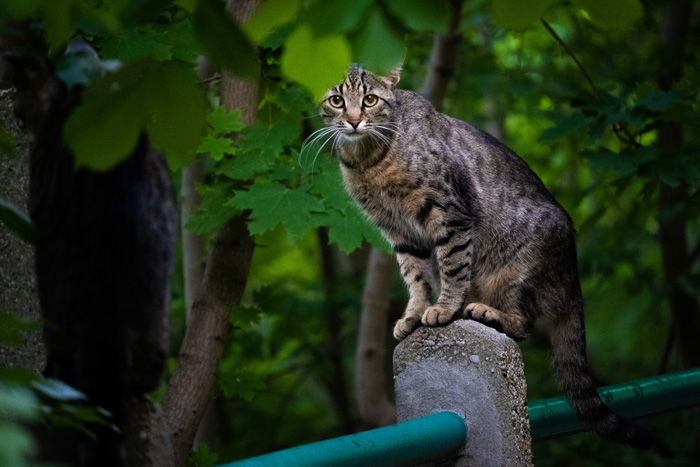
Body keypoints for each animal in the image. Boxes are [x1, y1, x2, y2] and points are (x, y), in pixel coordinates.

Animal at [320, 65, 652, 450]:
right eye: (337, 101)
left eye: (370, 100)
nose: (354, 120)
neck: (367, 161)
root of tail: (574, 280)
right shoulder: (401, 234)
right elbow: (416, 277)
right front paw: (414, 314)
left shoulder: (449, 215)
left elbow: (451, 266)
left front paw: (443, 308)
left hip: (517, 273)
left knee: (522, 323)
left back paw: (484, 311)